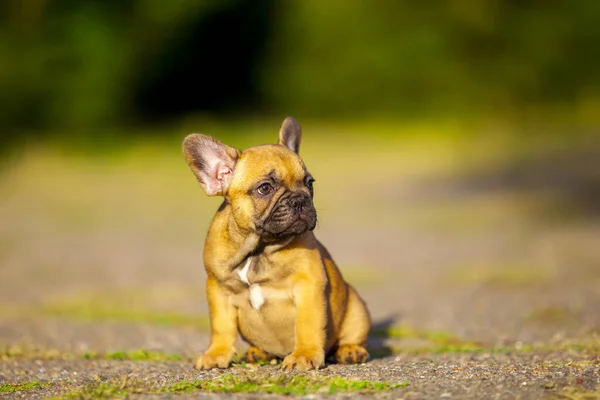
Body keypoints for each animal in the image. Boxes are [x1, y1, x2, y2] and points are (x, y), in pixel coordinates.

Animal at [183, 117, 370, 370]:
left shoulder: (308, 285)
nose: (300, 199)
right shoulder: (218, 290)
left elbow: (308, 324)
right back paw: (257, 353)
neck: (258, 249)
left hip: (356, 308)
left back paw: (350, 351)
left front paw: (304, 355)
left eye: (309, 183)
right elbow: (221, 327)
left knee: (352, 337)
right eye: (265, 188)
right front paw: (216, 354)